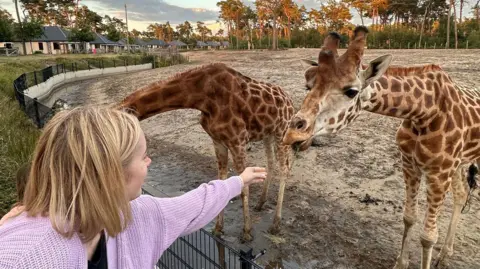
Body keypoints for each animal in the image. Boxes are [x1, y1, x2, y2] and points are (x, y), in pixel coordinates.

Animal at [116, 62, 296, 241]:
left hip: (282, 132)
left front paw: (246, 232)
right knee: (271, 163)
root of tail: (290, 101)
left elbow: (244, 187)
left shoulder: (237, 140)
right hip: (268, 134)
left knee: (285, 168)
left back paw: (275, 224)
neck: (201, 97)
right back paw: (260, 203)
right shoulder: (218, 141)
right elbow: (222, 180)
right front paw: (218, 229)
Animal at [282, 24, 480, 266]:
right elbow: (409, 217)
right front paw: (400, 264)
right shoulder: (410, 164)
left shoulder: (439, 173)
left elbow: (428, 237)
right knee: (461, 194)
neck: (423, 112)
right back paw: (445, 254)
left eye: (351, 91)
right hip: (461, 163)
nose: (293, 135)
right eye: (307, 86)